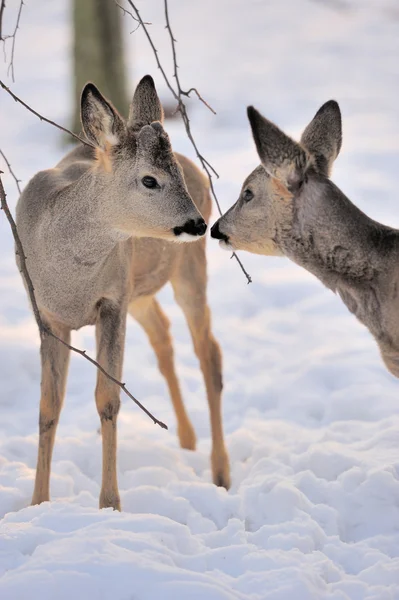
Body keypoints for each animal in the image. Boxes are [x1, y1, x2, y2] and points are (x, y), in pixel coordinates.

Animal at [16, 72, 231, 508]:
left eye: (174, 175)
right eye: (150, 179)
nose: (198, 224)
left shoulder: (112, 301)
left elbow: (108, 399)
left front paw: (110, 504)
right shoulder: (46, 313)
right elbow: (48, 405)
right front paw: (38, 502)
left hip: (187, 268)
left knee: (209, 352)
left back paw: (220, 472)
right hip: (141, 291)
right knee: (164, 337)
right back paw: (186, 439)